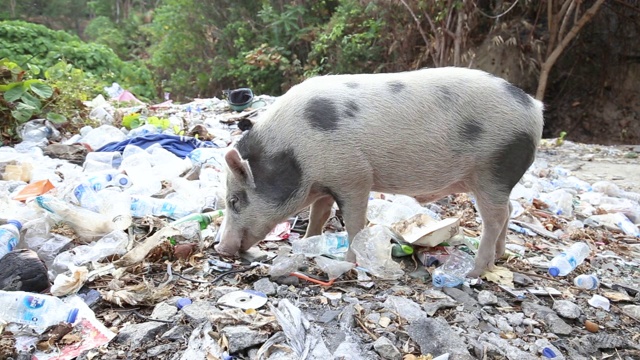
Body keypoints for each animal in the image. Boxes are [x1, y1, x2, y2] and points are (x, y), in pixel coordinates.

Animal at [215, 66, 544, 278]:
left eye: (234, 200)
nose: (221, 247)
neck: (294, 154)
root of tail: (534, 108)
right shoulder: (325, 183)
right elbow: (319, 214)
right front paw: (308, 243)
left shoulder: (354, 176)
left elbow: (354, 223)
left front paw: (350, 262)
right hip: (496, 178)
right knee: (509, 210)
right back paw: (499, 257)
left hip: (495, 168)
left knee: (495, 218)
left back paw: (475, 271)